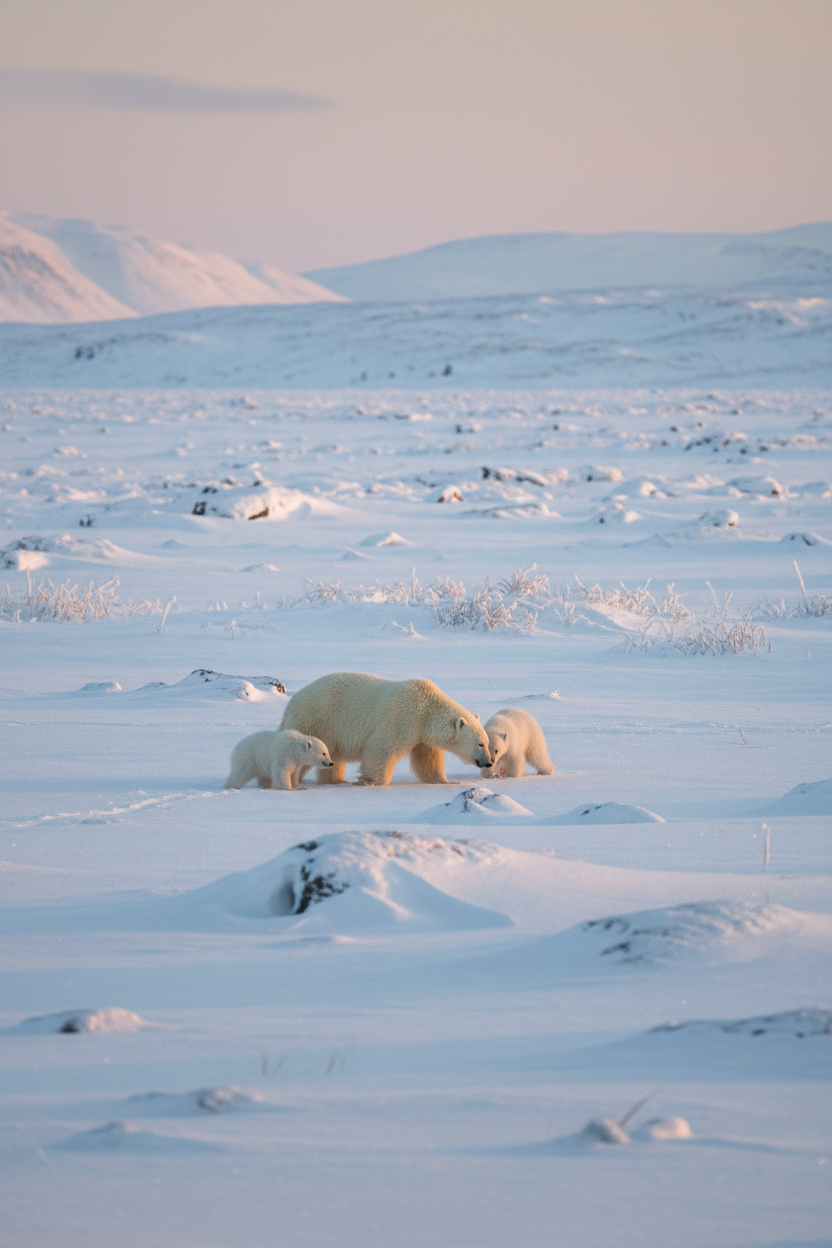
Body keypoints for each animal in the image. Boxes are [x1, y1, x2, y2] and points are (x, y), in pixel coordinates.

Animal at [279, 671, 492, 786]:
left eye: (487, 742)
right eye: (480, 744)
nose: (489, 762)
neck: (427, 708)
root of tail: (290, 704)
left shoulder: (422, 735)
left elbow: (429, 760)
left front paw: (447, 781)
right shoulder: (403, 716)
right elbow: (383, 748)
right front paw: (368, 781)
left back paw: (337, 780)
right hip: (317, 720)